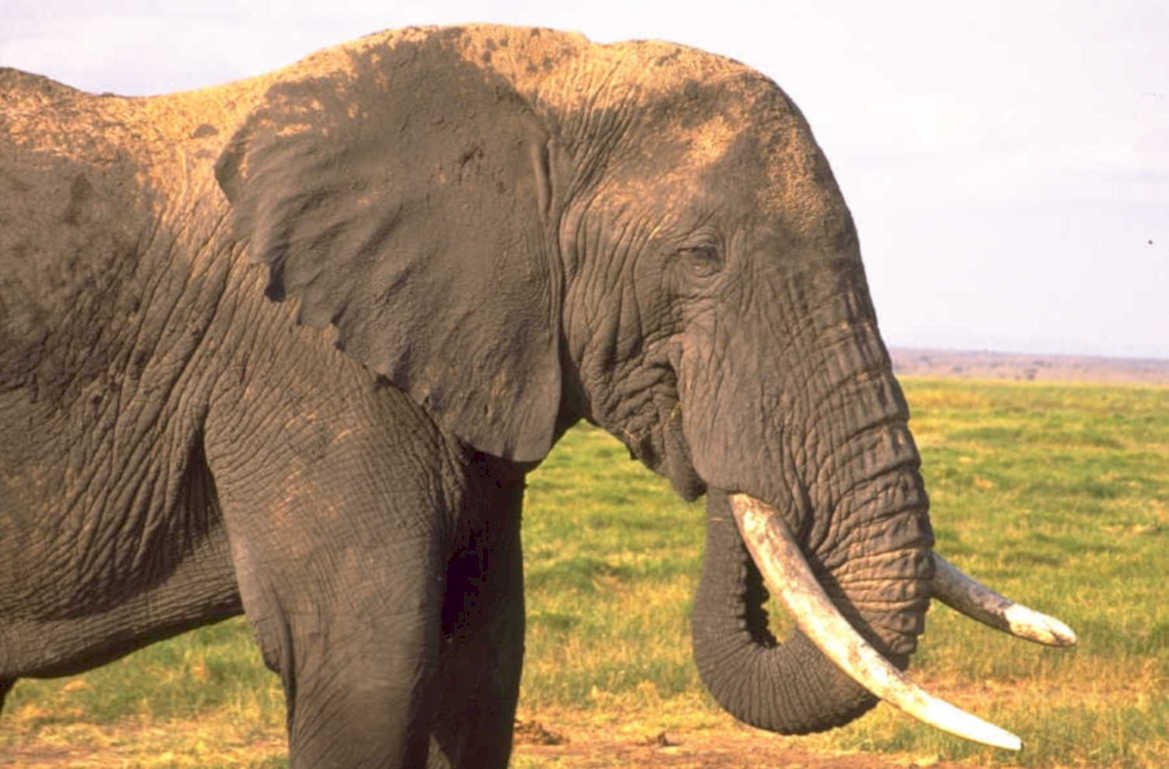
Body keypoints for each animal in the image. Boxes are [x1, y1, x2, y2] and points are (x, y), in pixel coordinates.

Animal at [0, 24, 1075, 769]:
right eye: (700, 258)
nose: (717, 454)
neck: (546, 86)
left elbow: (479, 661)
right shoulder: (306, 368)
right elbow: (372, 662)